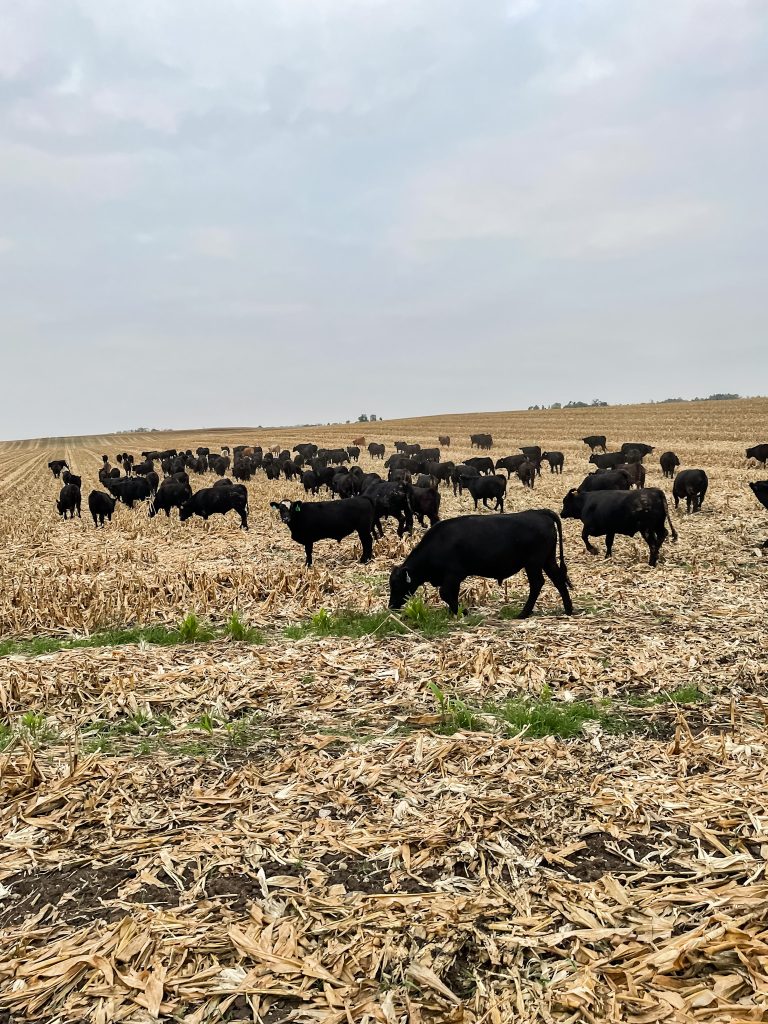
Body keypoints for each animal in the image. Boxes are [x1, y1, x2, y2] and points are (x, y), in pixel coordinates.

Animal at [389, 510, 573, 617]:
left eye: (396, 585)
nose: (391, 606)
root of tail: (539, 512)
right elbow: (451, 594)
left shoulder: (453, 575)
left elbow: (445, 593)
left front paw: (462, 611)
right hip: (547, 560)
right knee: (558, 579)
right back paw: (568, 609)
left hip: (533, 563)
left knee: (537, 583)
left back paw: (523, 613)